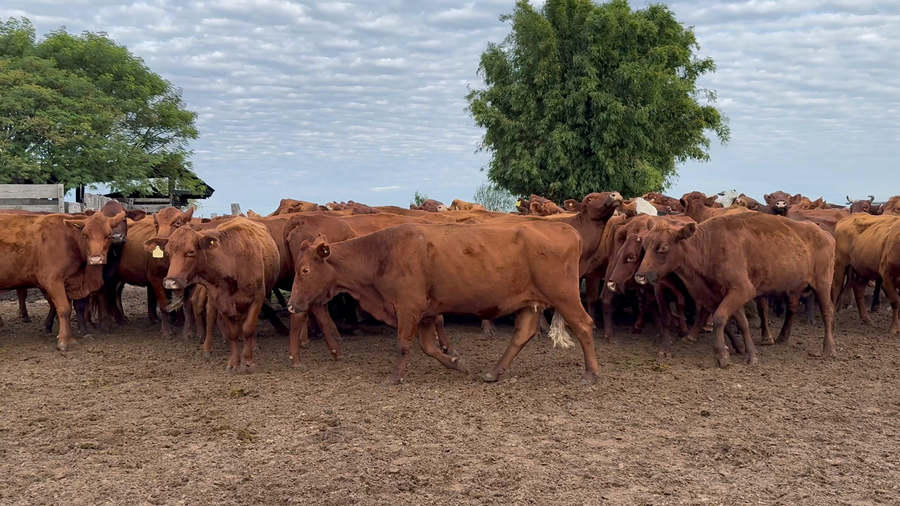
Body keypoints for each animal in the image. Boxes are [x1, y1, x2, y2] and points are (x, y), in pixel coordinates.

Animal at [0, 211, 125, 350]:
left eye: (108, 235)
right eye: (85, 235)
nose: (95, 259)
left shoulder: (71, 282)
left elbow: (74, 308)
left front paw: (73, 335)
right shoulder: (52, 281)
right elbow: (64, 309)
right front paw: (64, 340)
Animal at [144, 217, 281, 371]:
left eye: (191, 252)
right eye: (167, 253)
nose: (170, 282)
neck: (234, 260)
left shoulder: (257, 298)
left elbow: (248, 328)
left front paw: (247, 361)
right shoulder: (221, 301)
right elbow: (233, 332)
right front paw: (233, 362)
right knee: (210, 315)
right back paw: (208, 347)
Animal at [286, 221, 598, 385]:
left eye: (305, 271)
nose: (291, 305)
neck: (381, 254)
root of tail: (564, 227)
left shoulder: (408, 309)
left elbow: (403, 345)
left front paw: (394, 377)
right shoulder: (424, 313)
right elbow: (428, 347)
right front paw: (456, 363)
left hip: (564, 296)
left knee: (584, 325)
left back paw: (591, 372)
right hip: (528, 302)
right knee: (522, 335)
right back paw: (493, 372)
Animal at [633, 212, 836, 368]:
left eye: (664, 247)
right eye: (644, 244)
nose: (640, 276)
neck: (708, 246)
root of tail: (825, 234)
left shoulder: (742, 290)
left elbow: (720, 318)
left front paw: (722, 355)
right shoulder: (724, 294)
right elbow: (741, 322)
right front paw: (750, 354)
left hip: (822, 285)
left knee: (827, 313)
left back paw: (829, 349)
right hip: (797, 288)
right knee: (794, 310)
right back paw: (782, 338)